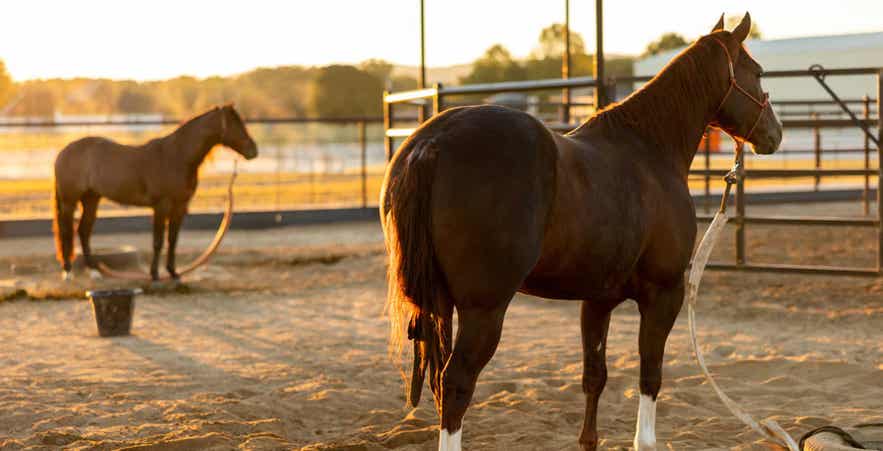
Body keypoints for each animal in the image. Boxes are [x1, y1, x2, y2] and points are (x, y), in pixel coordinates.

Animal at [53, 104, 258, 281]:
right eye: (235, 124)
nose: (253, 150)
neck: (177, 157)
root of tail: (63, 152)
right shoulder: (161, 206)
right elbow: (158, 241)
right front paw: (155, 275)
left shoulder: (180, 207)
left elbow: (172, 240)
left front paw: (173, 273)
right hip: (69, 201)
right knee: (66, 231)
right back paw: (68, 271)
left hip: (91, 199)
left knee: (83, 231)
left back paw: (94, 270)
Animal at [381, 13, 781, 451]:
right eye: (758, 72)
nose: (775, 133)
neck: (649, 151)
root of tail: (431, 145)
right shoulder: (665, 293)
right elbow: (650, 374)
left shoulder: (597, 301)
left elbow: (595, 377)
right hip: (484, 309)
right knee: (456, 384)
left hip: (441, 305)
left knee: (441, 383)